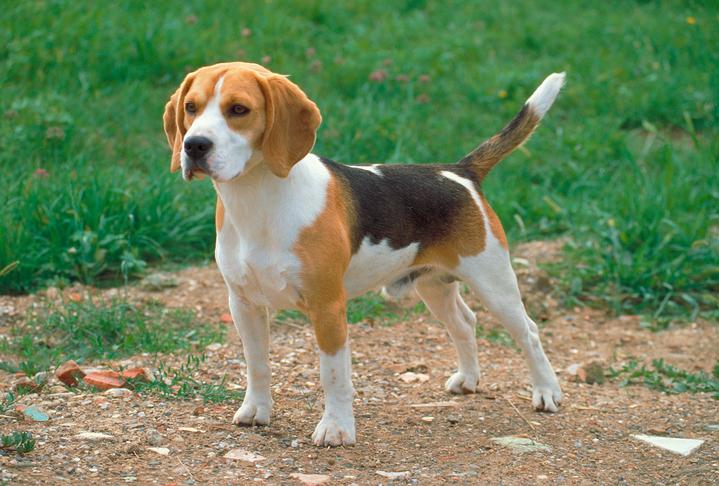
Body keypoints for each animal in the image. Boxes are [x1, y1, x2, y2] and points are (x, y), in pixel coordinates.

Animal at [165, 62, 568, 446]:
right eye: (191, 108)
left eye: (239, 109)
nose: (194, 145)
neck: (256, 199)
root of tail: (459, 171)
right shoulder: (243, 304)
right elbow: (257, 364)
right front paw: (256, 410)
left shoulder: (328, 307)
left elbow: (333, 375)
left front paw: (336, 429)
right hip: (434, 286)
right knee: (464, 323)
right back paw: (468, 379)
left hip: (494, 284)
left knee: (530, 333)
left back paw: (547, 392)